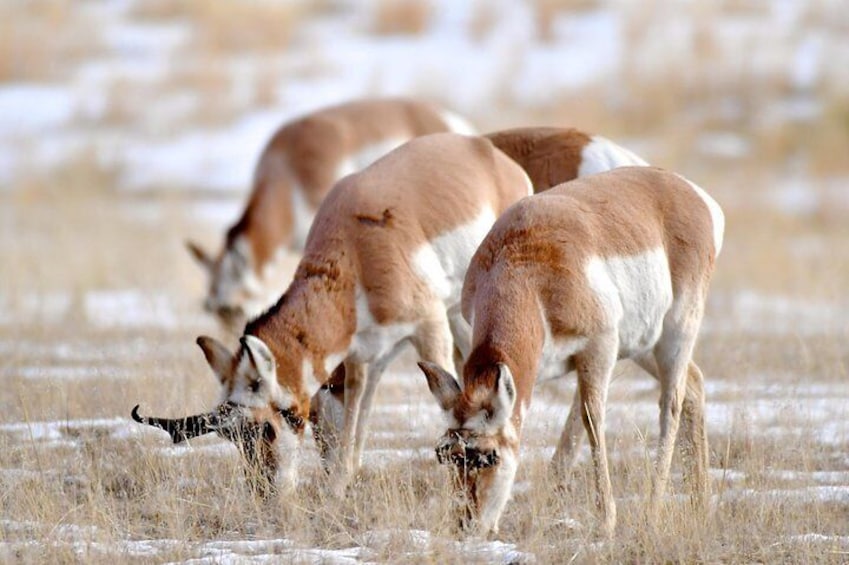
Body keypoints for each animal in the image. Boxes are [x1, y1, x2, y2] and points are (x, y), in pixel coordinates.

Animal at [132, 132, 528, 494]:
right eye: (231, 436)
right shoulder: (355, 356)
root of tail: (483, 150)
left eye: (269, 426)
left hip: (461, 314)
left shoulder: (428, 328)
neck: (355, 254)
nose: (266, 491)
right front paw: (339, 484)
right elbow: (352, 411)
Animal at [418, 165, 724, 536]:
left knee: (671, 404)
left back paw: (652, 511)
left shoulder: (599, 349)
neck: (523, 264)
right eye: (445, 455)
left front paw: (606, 521)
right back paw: (701, 503)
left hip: (676, 331)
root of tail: (689, 191)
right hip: (643, 345)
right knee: (694, 384)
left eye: (488, 455)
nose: (465, 526)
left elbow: (592, 419)